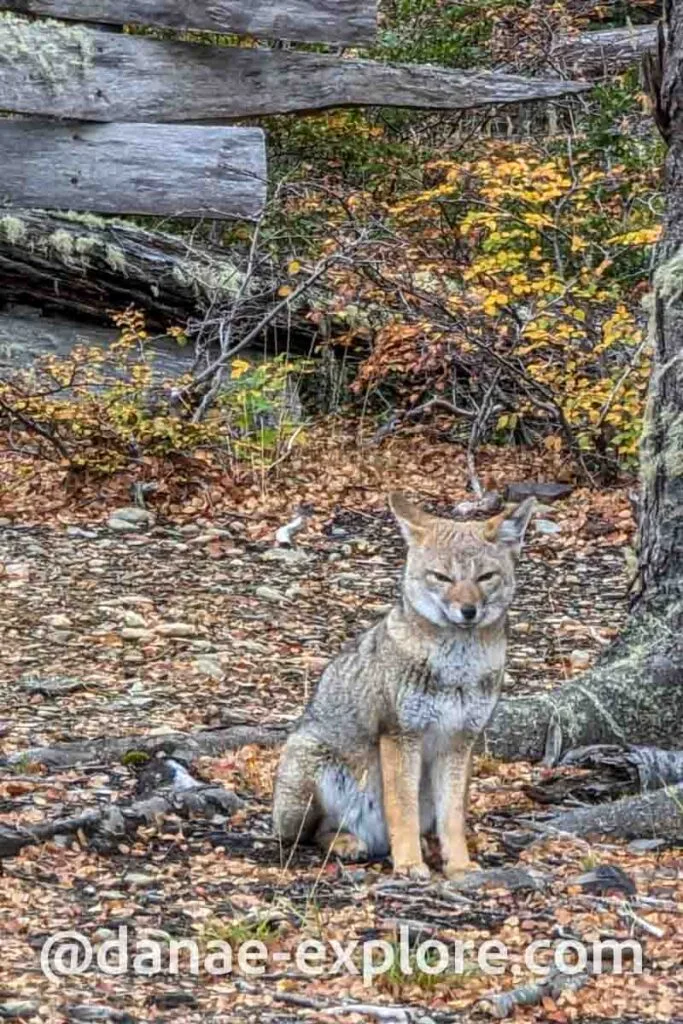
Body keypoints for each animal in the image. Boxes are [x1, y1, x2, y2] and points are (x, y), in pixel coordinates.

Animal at [273, 492, 536, 880]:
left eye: (485, 577)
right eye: (442, 577)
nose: (468, 611)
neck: (457, 670)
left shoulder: (460, 741)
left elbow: (452, 817)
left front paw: (459, 864)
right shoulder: (400, 734)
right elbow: (402, 808)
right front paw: (409, 863)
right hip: (310, 770)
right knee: (310, 835)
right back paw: (348, 841)